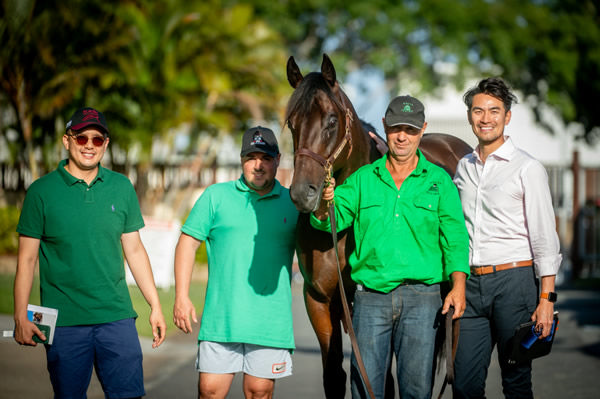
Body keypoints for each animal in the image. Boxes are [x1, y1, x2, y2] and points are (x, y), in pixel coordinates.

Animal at [286, 54, 474, 399]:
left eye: (331, 121)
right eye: (292, 123)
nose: (303, 193)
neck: (339, 233)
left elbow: (381, 381)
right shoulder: (319, 300)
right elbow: (335, 377)